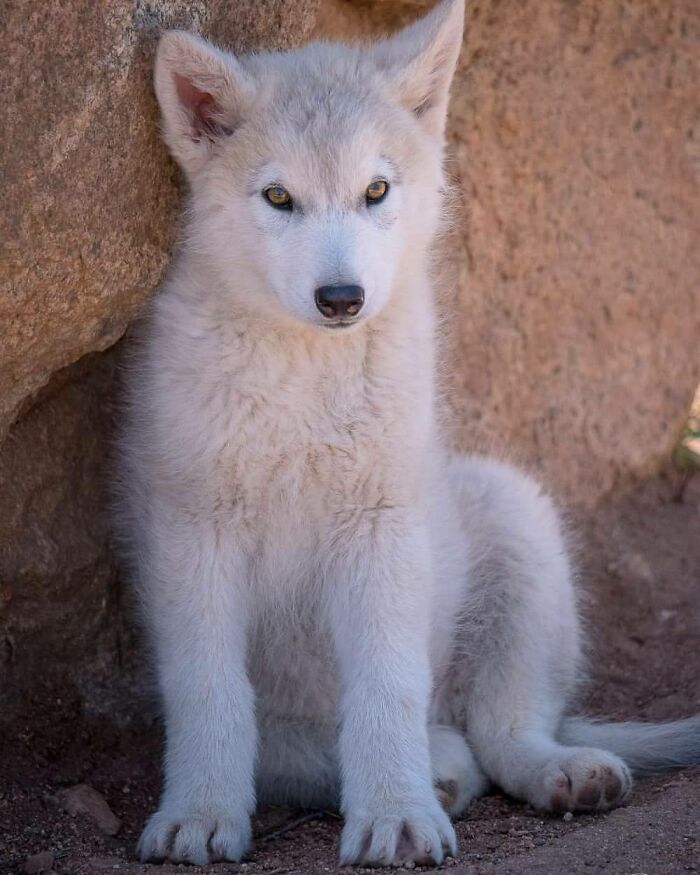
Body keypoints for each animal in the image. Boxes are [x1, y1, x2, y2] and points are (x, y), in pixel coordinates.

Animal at [118, 0, 700, 866]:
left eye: (376, 189)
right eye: (278, 197)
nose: (341, 298)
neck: (307, 376)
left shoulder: (381, 525)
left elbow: (386, 688)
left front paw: (395, 814)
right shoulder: (196, 532)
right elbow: (209, 693)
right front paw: (198, 814)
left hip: (510, 510)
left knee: (504, 729)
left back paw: (557, 770)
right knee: (329, 744)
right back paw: (443, 767)